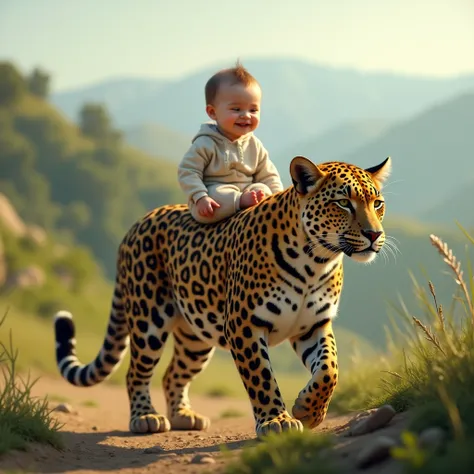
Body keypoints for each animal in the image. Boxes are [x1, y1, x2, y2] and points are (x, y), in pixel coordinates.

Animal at [53, 155, 390, 436]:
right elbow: (261, 377)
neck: (316, 262)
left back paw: (183, 416)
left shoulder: (313, 325)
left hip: (195, 339)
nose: (374, 235)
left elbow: (329, 369)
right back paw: (145, 417)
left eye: (377, 203)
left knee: (172, 375)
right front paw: (276, 420)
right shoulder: (244, 325)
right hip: (149, 322)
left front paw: (309, 410)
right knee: (136, 373)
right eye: (343, 203)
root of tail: (137, 224)